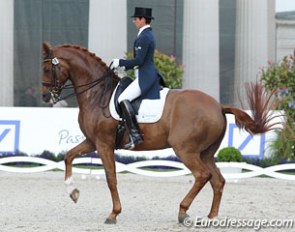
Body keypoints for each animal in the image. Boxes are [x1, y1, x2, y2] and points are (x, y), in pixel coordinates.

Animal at [41, 42, 278, 225]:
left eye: (47, 69)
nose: (45, 96)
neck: (98, 94)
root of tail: (218, 106)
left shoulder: (103, 144)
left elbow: (111, 178)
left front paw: (113, 214)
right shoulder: (92, 141)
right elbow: (69, 156)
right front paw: (73, 193)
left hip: (186, 150)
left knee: (202, 176)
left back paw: (183, 212)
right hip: (205, 153)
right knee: (217, 180)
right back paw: (210, 217)